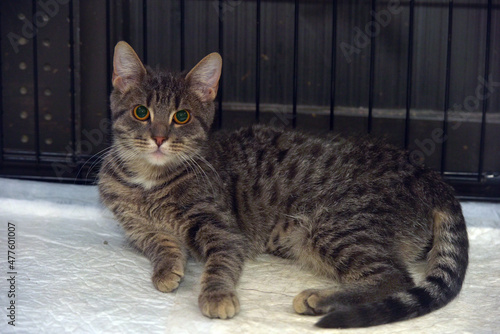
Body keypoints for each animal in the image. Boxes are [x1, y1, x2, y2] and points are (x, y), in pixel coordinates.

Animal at [98, 41, 468, 328]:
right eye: (141, 112)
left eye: (182, 117)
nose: (159, 138)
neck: (148, 181)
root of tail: (427, 173)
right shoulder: (138, 229)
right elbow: (161, 245)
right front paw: (167, 268)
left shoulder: (223, 229)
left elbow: (220, 264)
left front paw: (217, 295)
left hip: (333, 227)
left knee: (395, 277)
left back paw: (320, 299)